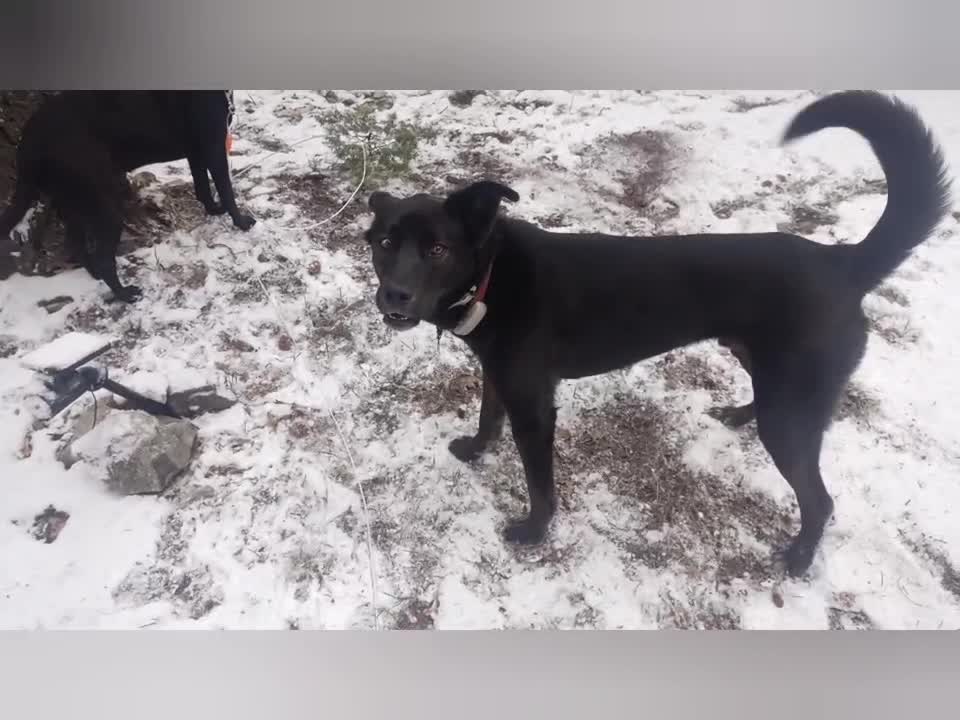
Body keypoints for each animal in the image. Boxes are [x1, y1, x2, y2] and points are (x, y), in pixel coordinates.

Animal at [0, 90, 255, 300]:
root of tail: (27, 144)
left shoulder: (196, 149)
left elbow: (202, 187)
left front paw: (214, 210)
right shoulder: (213, 146)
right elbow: (226, 189)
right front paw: (241, 222)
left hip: (74, 200)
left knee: (75, 244)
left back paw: (95, 275)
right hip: (104, 204)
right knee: (103, 258)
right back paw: (124, 294)